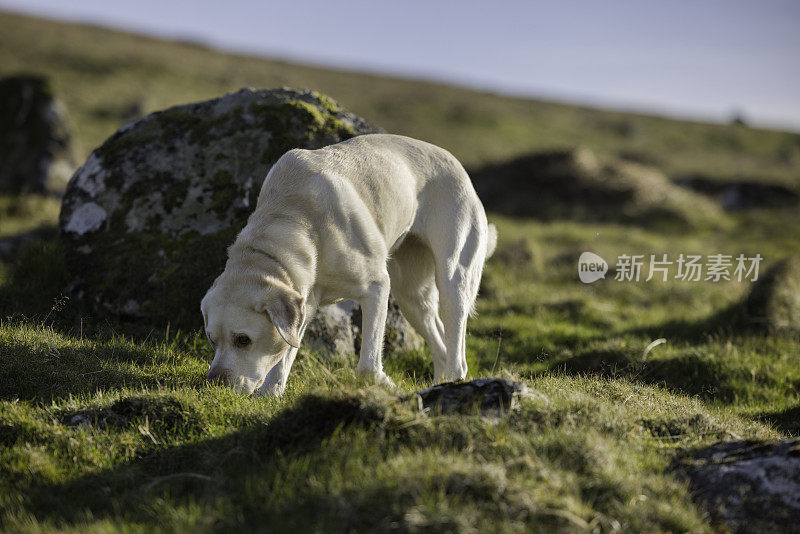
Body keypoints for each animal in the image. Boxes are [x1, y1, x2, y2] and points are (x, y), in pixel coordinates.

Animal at [202, 134, 494, 398]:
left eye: (243, 339)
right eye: (212, 340)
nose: (214, 383)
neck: (296, 218)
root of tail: (457, 165)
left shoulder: (377, 287)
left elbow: (368, 362)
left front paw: (383, 384)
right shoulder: (304, 304)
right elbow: (284, 356)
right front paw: (270, 394)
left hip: (453, 280)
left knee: (457, 352)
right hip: (412, 298)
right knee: (441, 347)